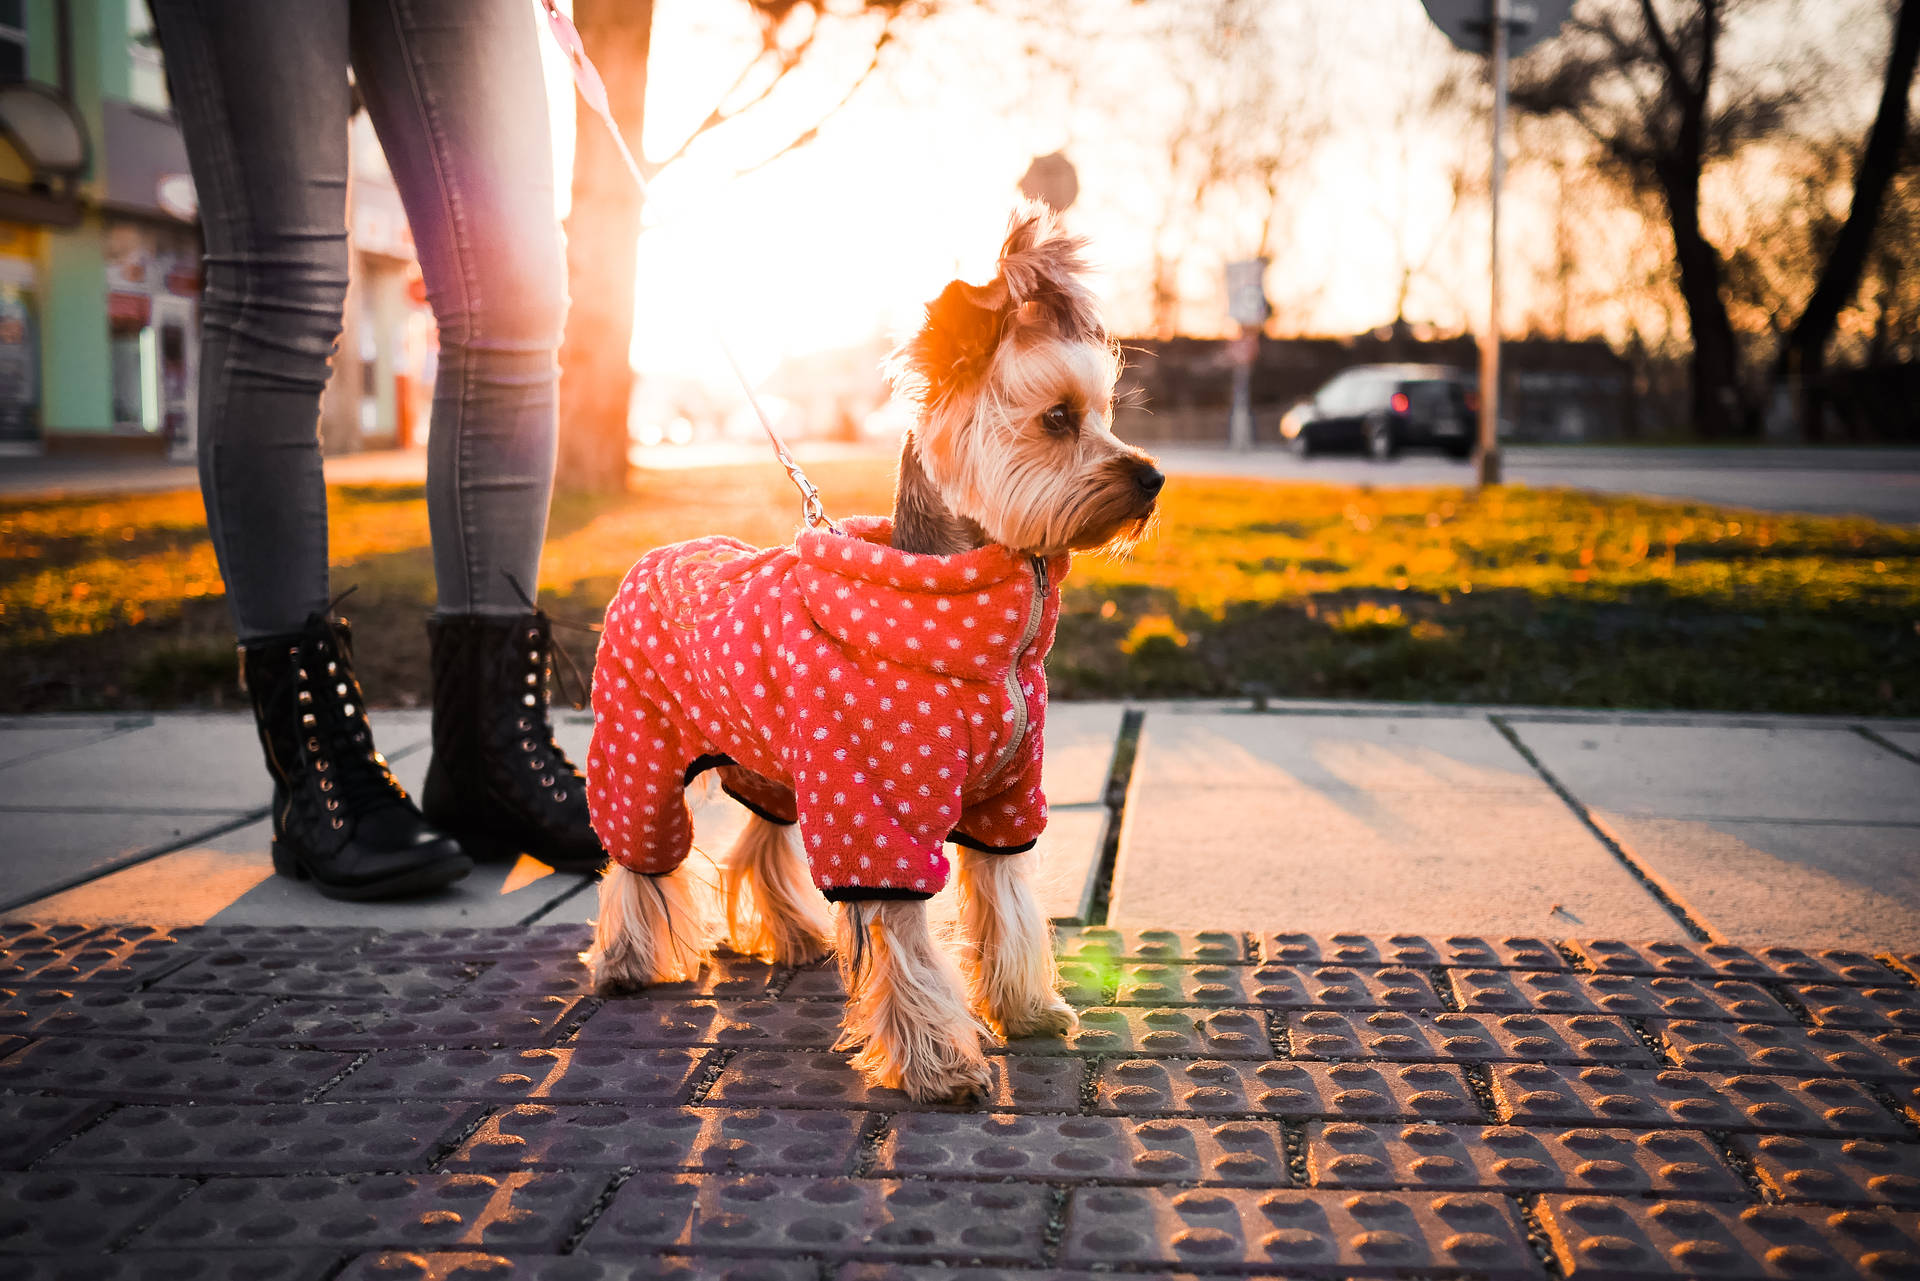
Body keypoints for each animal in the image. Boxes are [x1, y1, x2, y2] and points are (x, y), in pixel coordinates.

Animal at [576, 202, 1159, 1106]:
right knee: (639, 858)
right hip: (640, 745)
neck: (995, 627)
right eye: (1059, 419)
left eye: (1104, 415)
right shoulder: (879, 807)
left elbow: (1006, 898)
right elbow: (906, 935)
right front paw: (940, 1061)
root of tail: (654, 553)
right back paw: (628, 960)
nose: (1153, 479)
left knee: (759, 839)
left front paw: (1025, 1008)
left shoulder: (1002, 797)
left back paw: (788, 933)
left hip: (772, 759)